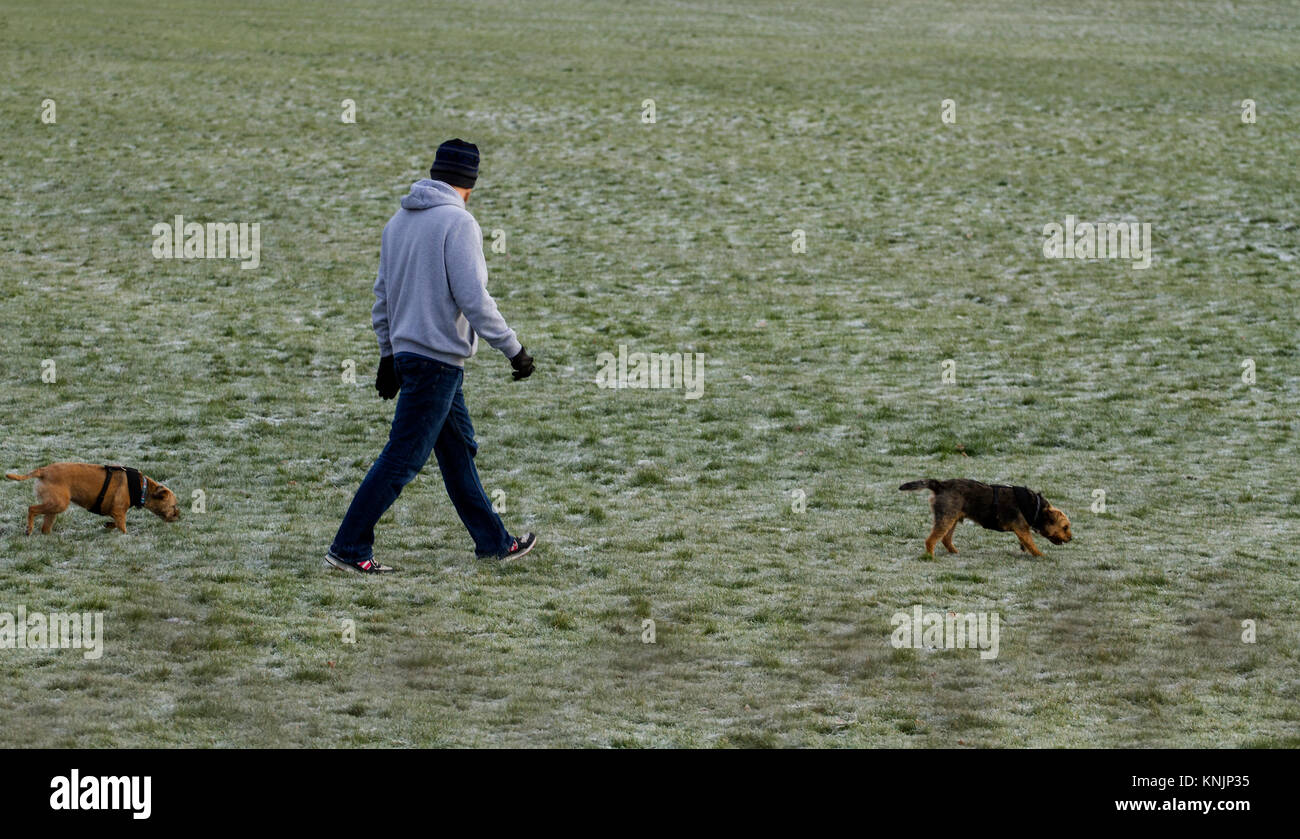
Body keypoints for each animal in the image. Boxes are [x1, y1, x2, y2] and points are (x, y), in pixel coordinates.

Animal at [6, 460, 180, 533]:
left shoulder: (115, 513)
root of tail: (43, 471)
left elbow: (114, 524)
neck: (142, 487)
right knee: (31, 509)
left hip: (54, 507)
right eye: (173, 505)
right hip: (58, 503)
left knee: (45, 527)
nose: (179, 516)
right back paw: (29, 529)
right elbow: (122, 527)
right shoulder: (119, 512)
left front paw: (108, 525)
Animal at [899, 478, 1071, 556]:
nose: (1071, 538)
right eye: (1065, 527)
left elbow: (1026, 543)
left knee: (945, 539)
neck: (1036, 507)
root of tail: (941, 484)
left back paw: (955, 552)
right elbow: (1032, 544)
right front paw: (1041, 556)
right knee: (931, 540)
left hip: (952, 519)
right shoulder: (1021, 528)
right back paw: (930, 556)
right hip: (946, 519)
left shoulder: (1022, 530)